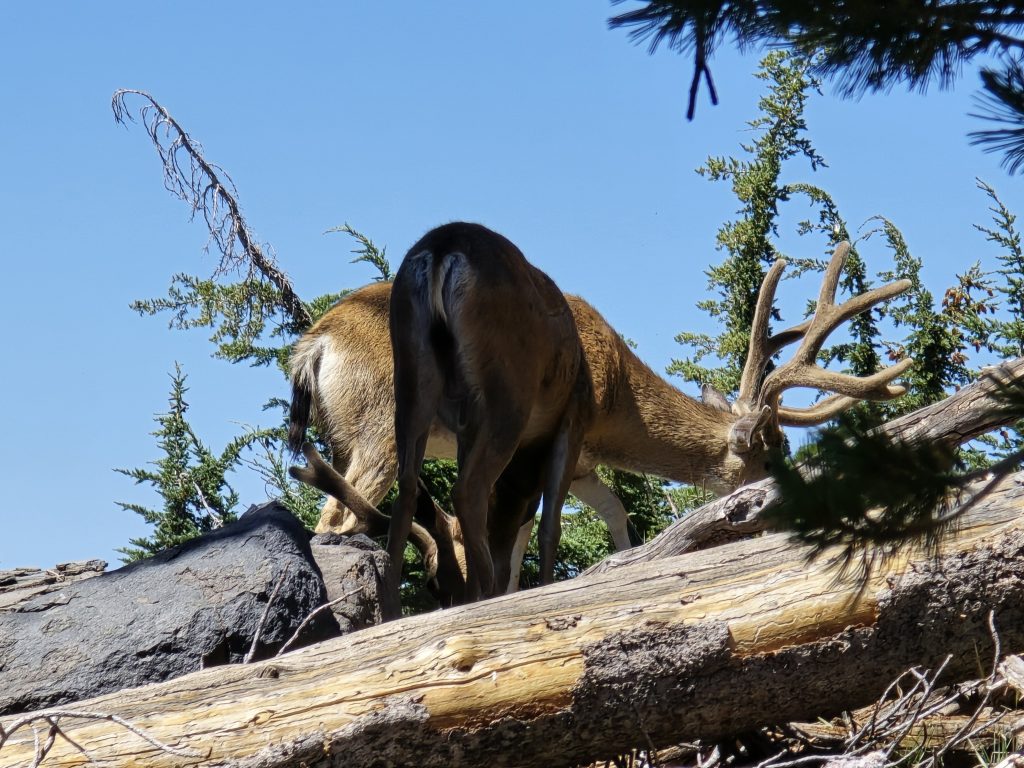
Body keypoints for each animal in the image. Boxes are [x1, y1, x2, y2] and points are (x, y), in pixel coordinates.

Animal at [289, 235, 913, 604]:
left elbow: (611, 514)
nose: (798, 506)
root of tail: (314, 348)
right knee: (338, 516)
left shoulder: (584, 462)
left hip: (361, 432)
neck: (617, 399)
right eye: (772, 454)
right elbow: (537, 532)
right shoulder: (565, 435)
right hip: (382, 426)